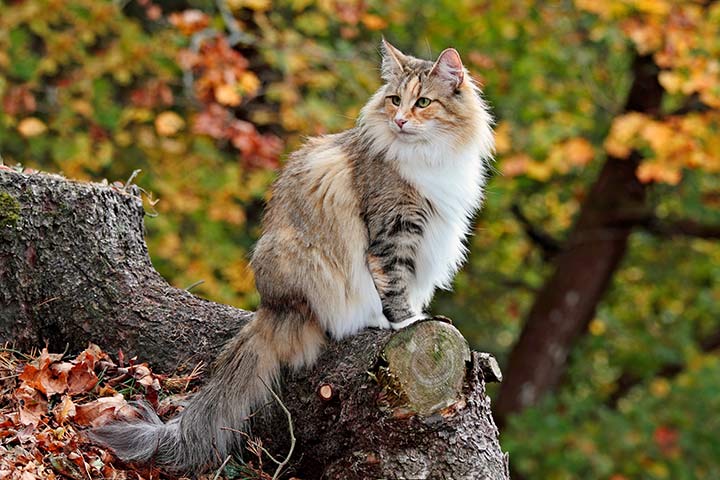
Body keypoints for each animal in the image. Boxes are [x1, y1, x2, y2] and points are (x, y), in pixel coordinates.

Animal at [88, 37, 496, 472]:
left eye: (422, 103)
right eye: (394, 100)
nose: (400, 121)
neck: (431, 155)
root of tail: (270, 308)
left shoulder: (429, 238)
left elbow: (413, 286)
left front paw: (421, 314)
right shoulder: (393, 231)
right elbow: (395, 286)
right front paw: (410, 322)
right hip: (302, 259)